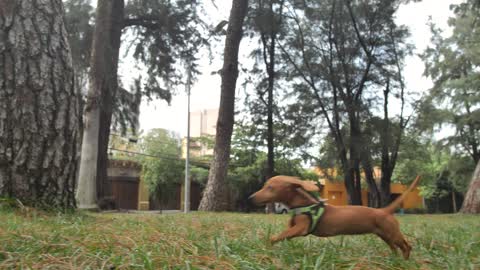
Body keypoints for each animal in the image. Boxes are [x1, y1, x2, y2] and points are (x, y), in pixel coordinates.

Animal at [249, 175, 422, 260]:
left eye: (270, 188)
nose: (250, 198)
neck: (303, 205)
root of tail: (384, 211)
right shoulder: (292, 227)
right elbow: (283, 234)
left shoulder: (301, 228)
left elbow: (278, 236)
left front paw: (268, 244)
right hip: (384, 235)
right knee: (395, 247)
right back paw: (395, 259)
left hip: (392, 233)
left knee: (406, 246)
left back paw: (405, 261)